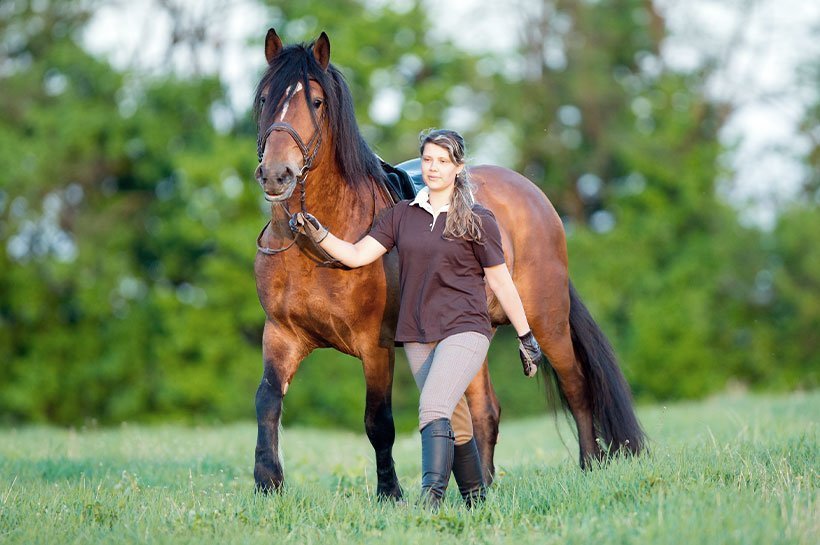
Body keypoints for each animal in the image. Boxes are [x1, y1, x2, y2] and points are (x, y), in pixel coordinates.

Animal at [250, 29, 648, 498]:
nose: (276, 174)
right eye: (264, 98)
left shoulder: (374, 345)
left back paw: (589, 466)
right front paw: (267, 482)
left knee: (576, 387)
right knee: (485, 411)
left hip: (546, 320)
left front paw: (390, 494)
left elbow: (378, 421)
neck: (315, 245)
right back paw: (484, 487)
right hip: (475, 330)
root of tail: (534, 196)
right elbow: (267, 401)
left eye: (315, 101)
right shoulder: (281, 334)